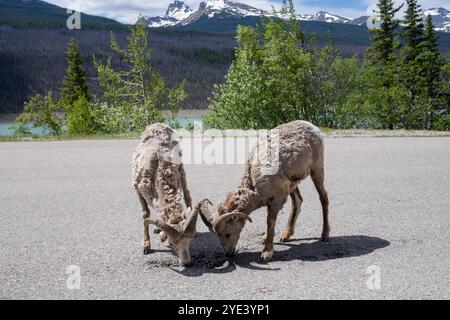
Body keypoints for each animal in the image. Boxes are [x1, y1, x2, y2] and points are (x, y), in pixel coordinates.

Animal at [132, 124, 199, 266]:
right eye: (172, 244)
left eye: (190, 241)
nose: (187, 263)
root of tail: (157, 124)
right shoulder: (138, 190)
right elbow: (146, 215)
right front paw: (146, 246)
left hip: (182, 171)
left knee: (187, 195)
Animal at [200, 121, 330, 262]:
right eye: (218, 235)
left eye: (228, 234)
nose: (229, 254)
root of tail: (312, 126)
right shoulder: (271, 199)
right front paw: (265, 239)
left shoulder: (277, 199)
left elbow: (270, 222)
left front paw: (266, 253)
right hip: (293, 184)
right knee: (297, 201)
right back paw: (285, 235)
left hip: (317, 170)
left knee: (323, 197)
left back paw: (325, 235)